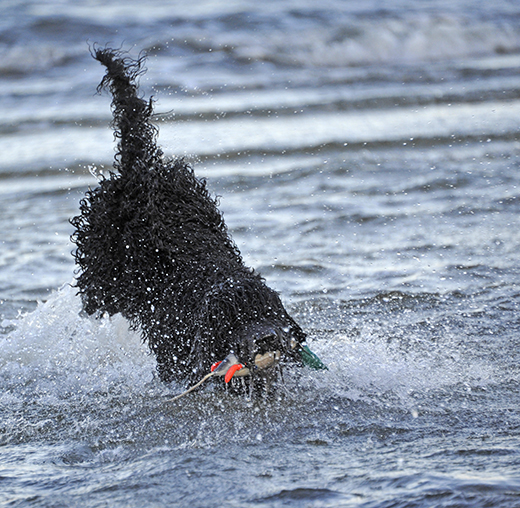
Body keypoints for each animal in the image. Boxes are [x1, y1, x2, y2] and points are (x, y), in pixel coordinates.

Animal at [72, 48, 308, 392]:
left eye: (265, 309)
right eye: (231, 319)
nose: (265, 339)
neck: (210, 274)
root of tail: (140, 168)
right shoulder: (173, 346)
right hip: (101, 272)